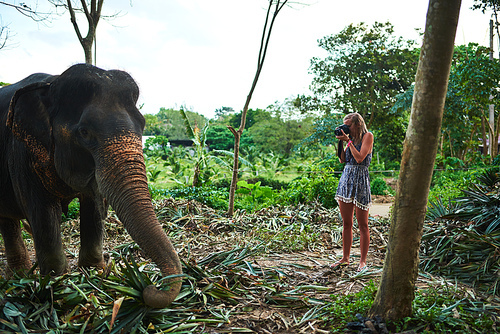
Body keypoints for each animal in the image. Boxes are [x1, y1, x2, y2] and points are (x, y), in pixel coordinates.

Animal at [0, 62, 184, 308]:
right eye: (84, 132)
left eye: (143, 124)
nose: (150, 287)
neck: (52, 83)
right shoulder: (22, 152)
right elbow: (43, 212)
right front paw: (57, 285)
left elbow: (92, 208)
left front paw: (95, 273)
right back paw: (20, 278)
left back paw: (19, 277)